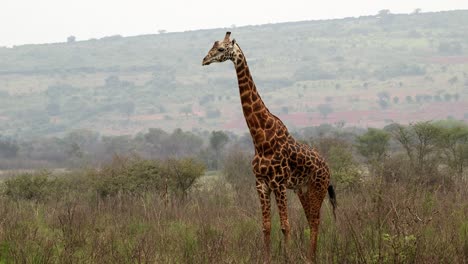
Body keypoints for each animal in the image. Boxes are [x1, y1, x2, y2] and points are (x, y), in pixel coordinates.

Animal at [201, 31, 336, 262]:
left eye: (221, 49)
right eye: (213, 45)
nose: (204, 60)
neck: (260, 139)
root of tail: (328, 168)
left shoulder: (278, 184)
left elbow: (285, 226)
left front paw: (288, 257)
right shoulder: (261, 184)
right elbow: (266, 227)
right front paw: (267, 258)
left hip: (317, 187)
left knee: (316, 221)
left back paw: (311, 258)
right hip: (302, 189)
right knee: (311, 221)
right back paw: (310, 256)